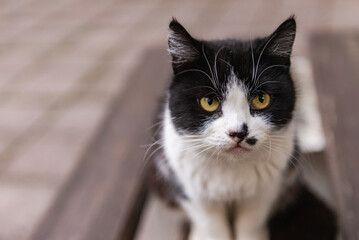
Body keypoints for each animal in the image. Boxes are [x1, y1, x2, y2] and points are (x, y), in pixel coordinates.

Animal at [147, 16, 300, 240]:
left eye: (261, 99)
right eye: (209, 102)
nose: (238, 132)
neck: (230, 169)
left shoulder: (268, 187)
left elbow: (251, 221)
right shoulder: (189, 187)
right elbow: (211, 224)